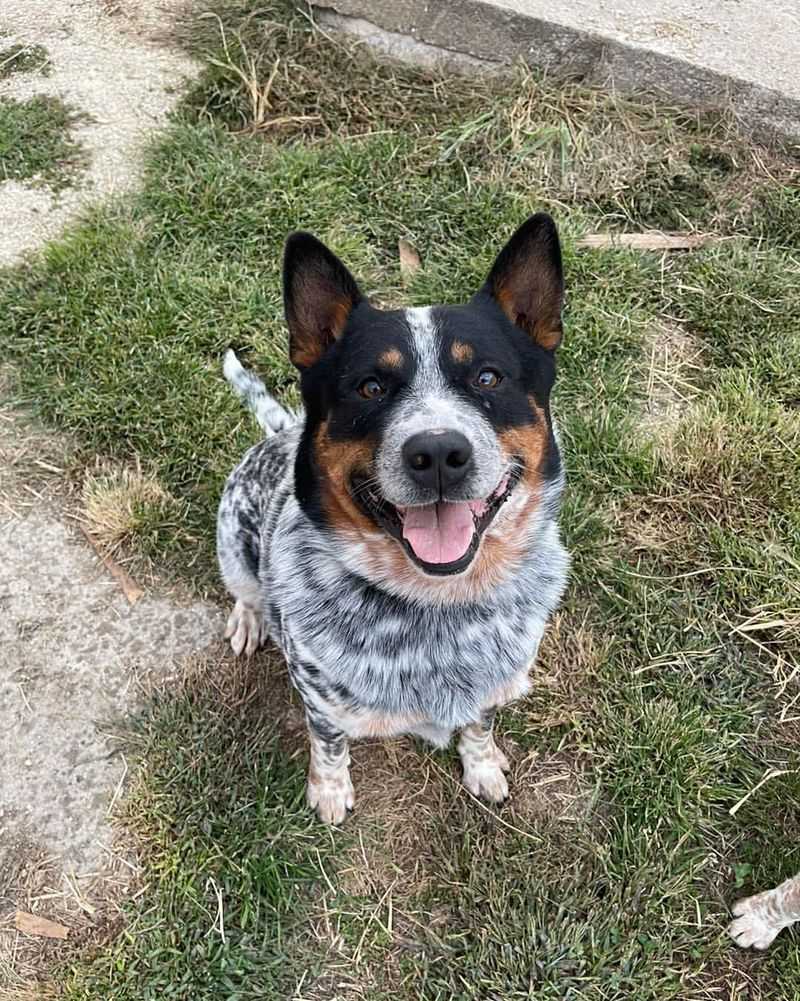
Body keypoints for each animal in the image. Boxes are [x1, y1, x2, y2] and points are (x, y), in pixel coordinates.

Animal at [217, 211, 568, 820]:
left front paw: (482, 764)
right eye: (371, 386)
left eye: (488, 378)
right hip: (231, 541)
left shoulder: (491, 684)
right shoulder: (318, 698)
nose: (438, 453)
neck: (436, 608)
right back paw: (250, 618)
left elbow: (479, 725)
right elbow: (329, 744)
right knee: (246, 590)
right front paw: (330, 791)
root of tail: (280, 431)